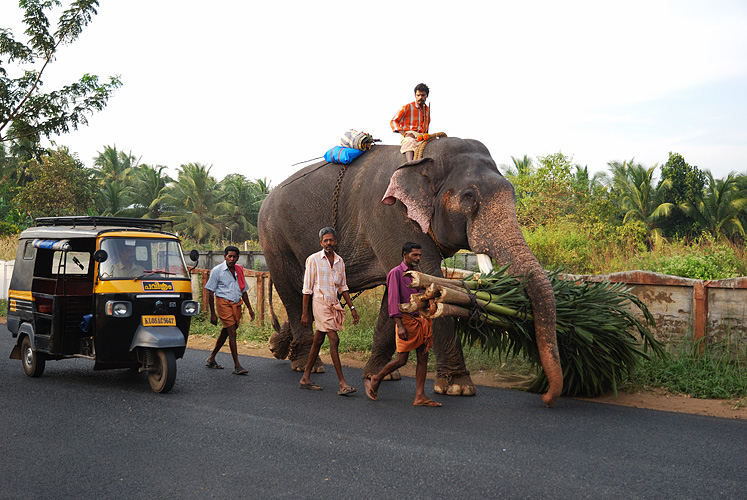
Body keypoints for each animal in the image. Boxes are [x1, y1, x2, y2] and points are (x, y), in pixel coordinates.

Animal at [260, 136, 564, 406]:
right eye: (468, 197)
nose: (547, 397)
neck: (424, 155)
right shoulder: (388, 213)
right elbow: (427, 277)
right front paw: (458, 388)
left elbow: (399, 289)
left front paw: (381, 375)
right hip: (273, 237)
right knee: (292, 292)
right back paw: (306, 365)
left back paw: (283, 349)